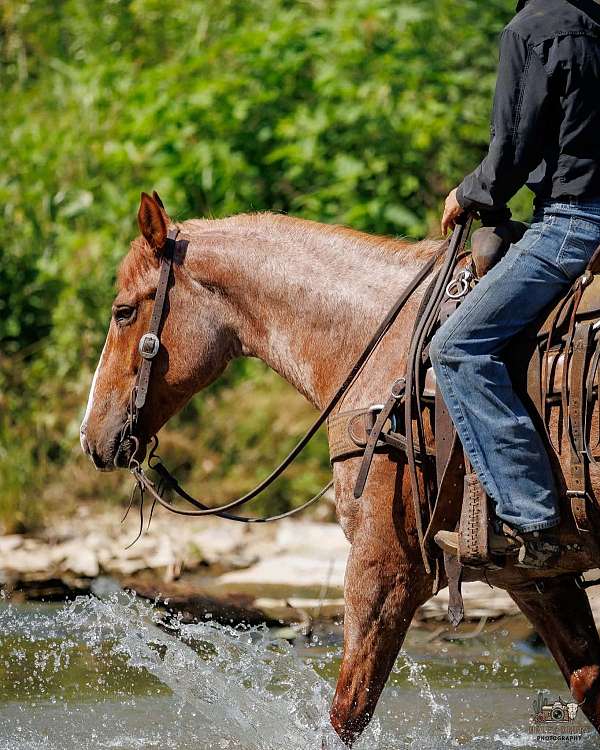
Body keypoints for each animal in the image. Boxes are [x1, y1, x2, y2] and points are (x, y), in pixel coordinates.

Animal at [80, 192, 600, 745]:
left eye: (123, 311)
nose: (91, 437)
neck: (385, 348)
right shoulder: (538, 580)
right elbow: (590, 684)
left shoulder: (386, 564)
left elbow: (349, 709)